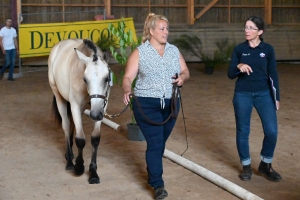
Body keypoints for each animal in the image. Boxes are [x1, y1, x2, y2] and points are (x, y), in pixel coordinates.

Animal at [48, 38, 111, 184]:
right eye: (85, 79)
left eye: (106, 78)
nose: (95, 114)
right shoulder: (75, 106)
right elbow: (81, 139)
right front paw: (79, 167)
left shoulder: (102, 108)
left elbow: (95, 138)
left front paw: (93, 173)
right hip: (59, 96)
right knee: (66, 125)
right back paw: (70, 161)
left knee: (71, 125)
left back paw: (69, 154)